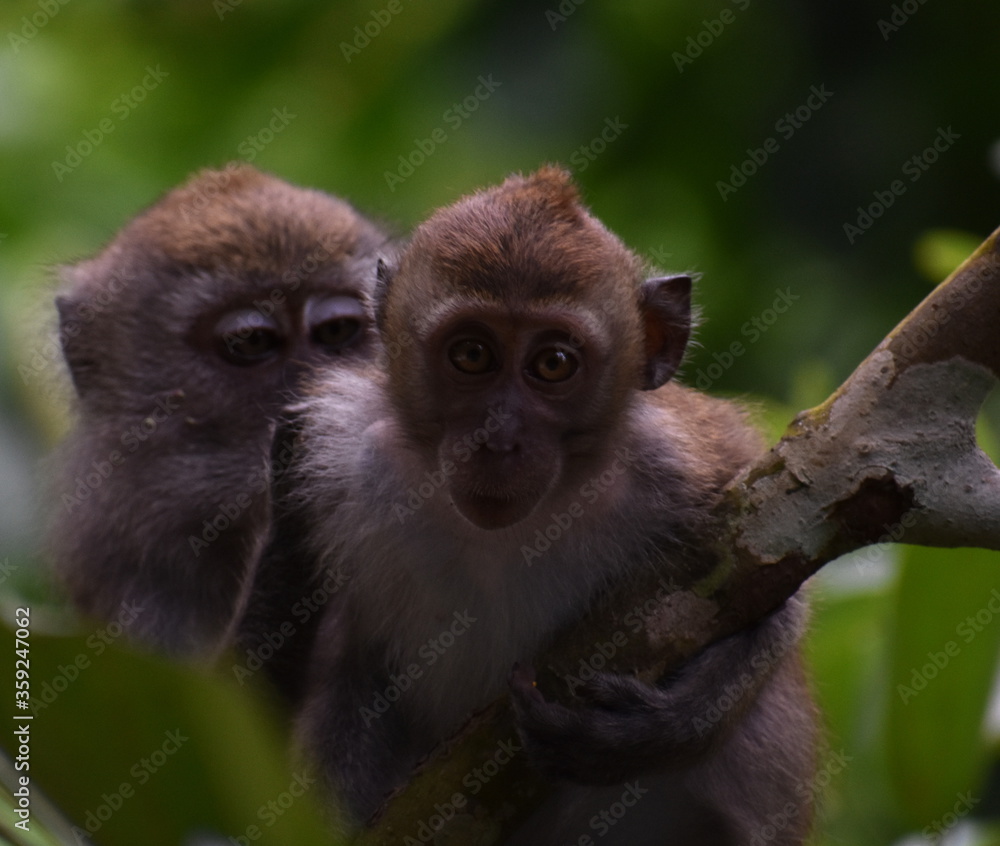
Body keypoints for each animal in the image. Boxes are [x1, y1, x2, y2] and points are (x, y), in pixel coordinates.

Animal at [269, 166, 816, 843]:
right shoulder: (337, 451)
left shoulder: (685, 460)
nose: (500, 438)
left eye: (553, 363)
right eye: (471, 354)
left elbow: (774, 573)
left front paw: (656, 733)